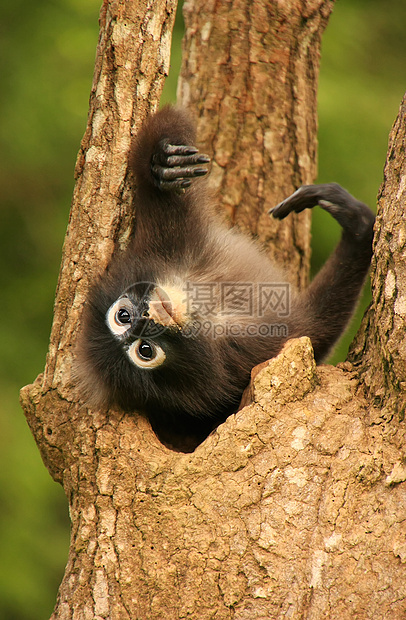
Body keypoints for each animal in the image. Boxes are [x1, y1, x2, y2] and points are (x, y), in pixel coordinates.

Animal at [75, 106, 374, 450]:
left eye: (122, 316)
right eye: (146, 351)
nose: (148, 318)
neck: (200, 307)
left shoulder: (161, 245)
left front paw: (162, 164)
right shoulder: (239, 359)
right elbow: (316, 329)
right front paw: (359, 229)